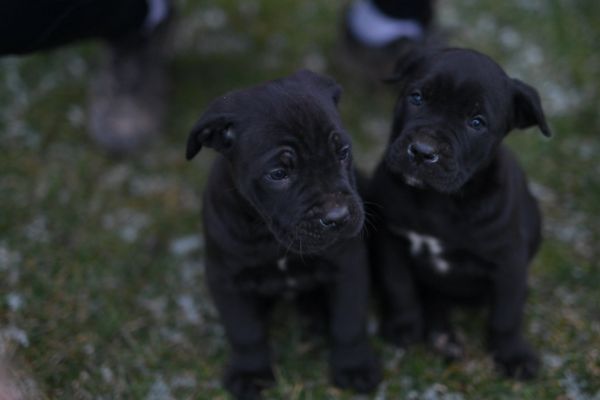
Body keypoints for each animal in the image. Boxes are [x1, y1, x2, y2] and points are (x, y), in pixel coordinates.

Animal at [186, 70, 380, 398]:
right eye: (278, 174)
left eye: (343, 153)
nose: (338, 217)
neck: (271, 237)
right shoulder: (226, 279)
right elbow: (244, 331)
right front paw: (251, 373)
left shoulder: (349, 264)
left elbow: (349, 321)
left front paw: (353, 367)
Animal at [370, 48, 552, 380]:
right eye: (416, 97)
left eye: (476, 122)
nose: (423, 151)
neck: (438, 201)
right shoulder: (392, 238)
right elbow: (399, 286)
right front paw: (403, 327)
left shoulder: (509, 261)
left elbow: (507, 314)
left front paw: (513, 355)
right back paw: (443, 337)